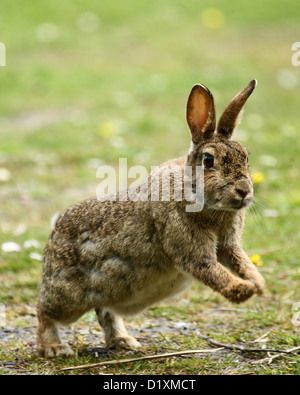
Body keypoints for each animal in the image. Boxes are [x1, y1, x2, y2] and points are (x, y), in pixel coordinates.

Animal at [37, 80, 264, 358]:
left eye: (246, 156)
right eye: (209, 160)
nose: (244, 191)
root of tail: (54, 233)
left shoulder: (229, 246)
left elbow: (242, 261)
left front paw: (258, 284)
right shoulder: (190, 250)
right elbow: (211, 270)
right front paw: (243, 290)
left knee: (105, 312)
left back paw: (124, 342)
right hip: (68, 295)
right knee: (44, 310)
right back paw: (55, 348)